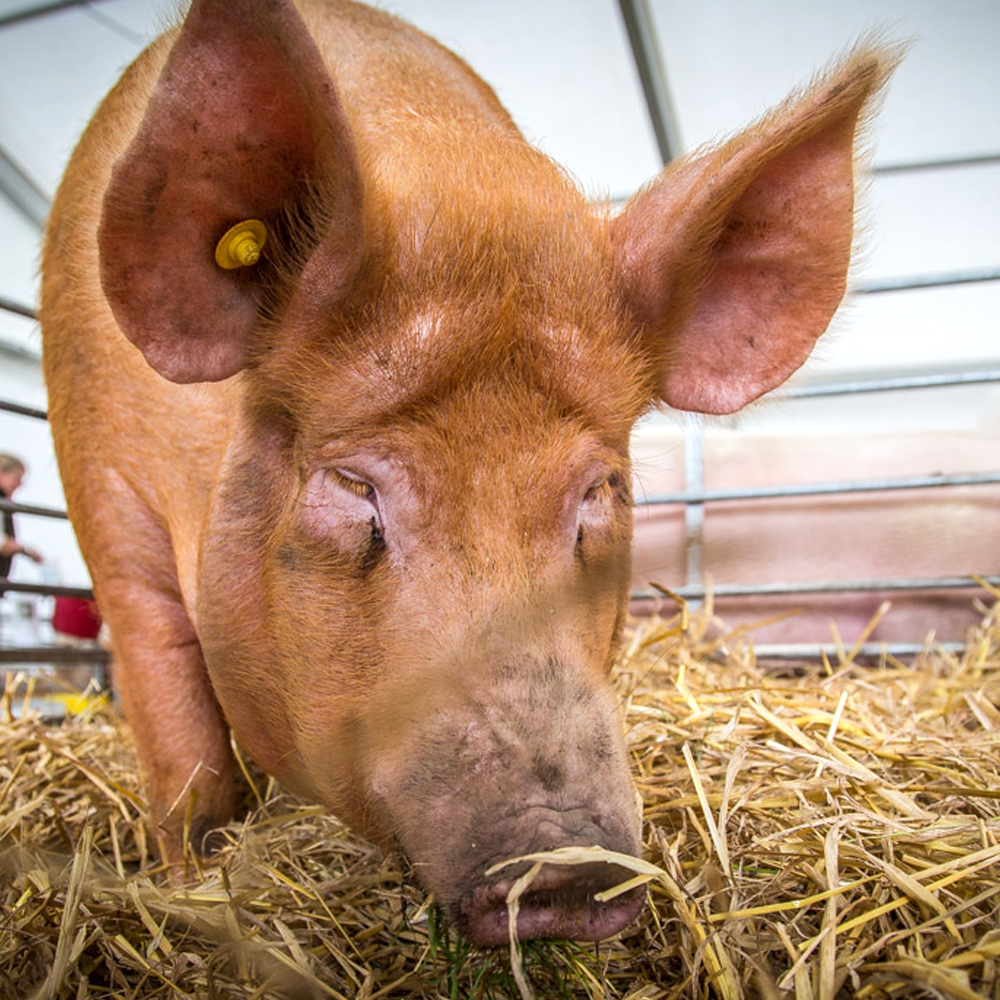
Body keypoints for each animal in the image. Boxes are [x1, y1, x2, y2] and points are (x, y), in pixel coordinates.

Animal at [37, 0, 900, 944]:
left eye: (597, 492)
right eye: (355, 489)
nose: (569, 865)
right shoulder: (107, 499)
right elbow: (177, 726)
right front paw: (194, 880)